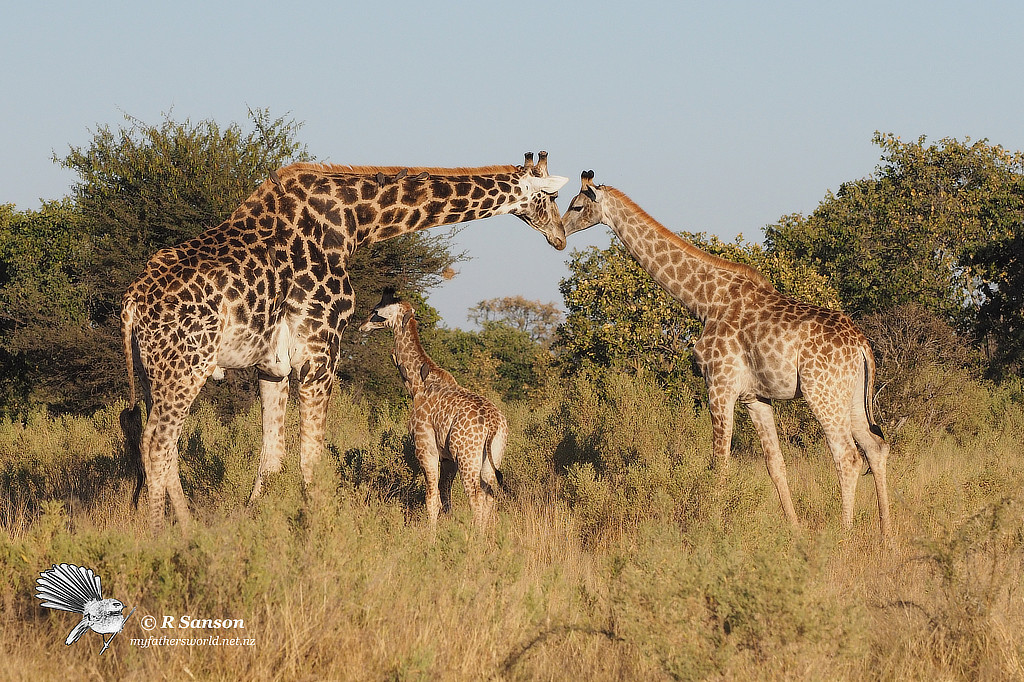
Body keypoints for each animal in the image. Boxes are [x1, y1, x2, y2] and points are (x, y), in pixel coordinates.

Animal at [360, 288, 507, 528]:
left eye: (376, 311)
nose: (362, 325)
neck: (417, 385)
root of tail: (494, 424)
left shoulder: (425, 447)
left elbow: (432, 498)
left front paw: (430, 535)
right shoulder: (447, 458)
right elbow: (445, 499)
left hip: (467, 456)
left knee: (475, 497)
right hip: (492, 455)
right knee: (489, 496)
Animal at [561, 169, 888, 536]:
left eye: (576, 206)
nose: (558, 235)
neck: (704, 300)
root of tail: (862, 346)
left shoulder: (719, 385)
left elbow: (719, 463)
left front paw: (711, 528)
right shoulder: (755, 397)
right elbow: (775, 463)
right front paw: (794, 530)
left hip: (822, 393)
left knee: (848, 456)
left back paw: (844, 535)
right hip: (851, 395)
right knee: (875, 447)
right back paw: (887, 536)